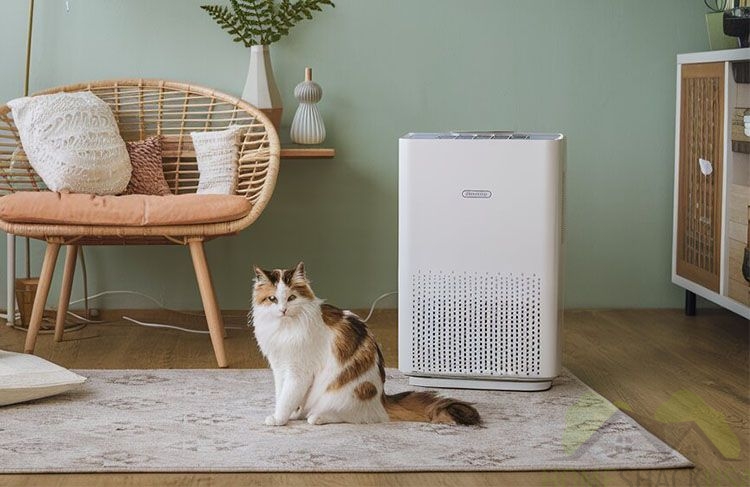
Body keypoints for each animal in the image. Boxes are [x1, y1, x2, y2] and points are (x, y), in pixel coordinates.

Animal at [250, 264, 478, 428]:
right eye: (272, 299)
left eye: (291, 298)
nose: (283, 310)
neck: (284, 328)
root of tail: (382, 399)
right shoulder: (280, 367)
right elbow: (282, 395)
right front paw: (287, 414)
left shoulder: (299, 372)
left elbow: (287, 398)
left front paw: (278, 419)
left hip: (341, 393)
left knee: (352, 416)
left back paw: (318, 417)